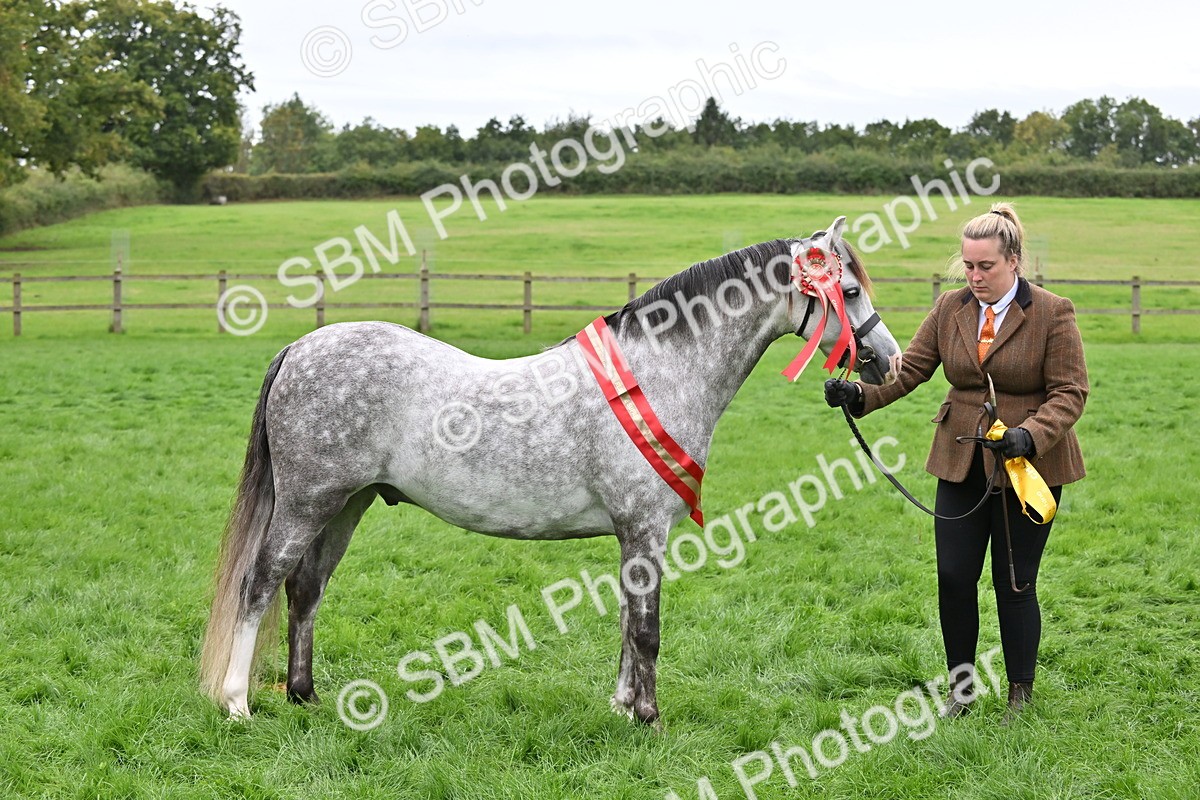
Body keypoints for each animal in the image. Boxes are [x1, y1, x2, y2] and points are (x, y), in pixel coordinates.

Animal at [199, 216, 902, 725]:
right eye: (850, 291)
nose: (886, 359)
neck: (658, 373)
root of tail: (300, 347)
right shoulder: (645, 528)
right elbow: (646, 629)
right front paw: (649, 717)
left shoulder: (632, 536)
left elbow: (626, 621)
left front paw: (621, 708)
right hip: (307, 501)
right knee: (260, 584)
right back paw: (237, 703)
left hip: (347, 503)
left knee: (306, 589)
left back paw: (305, 696)